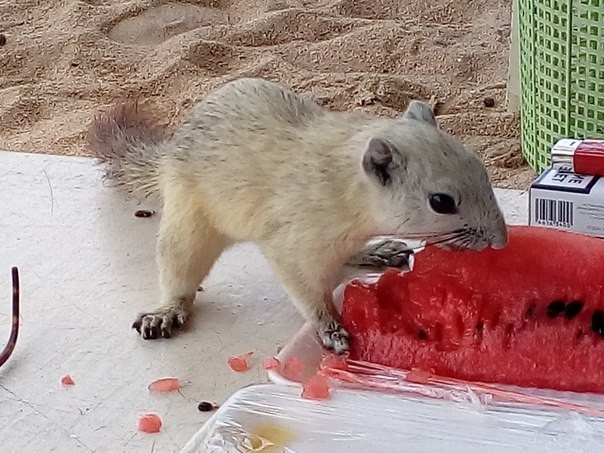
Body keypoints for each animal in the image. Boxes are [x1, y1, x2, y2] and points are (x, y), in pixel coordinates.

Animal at [87, 77, 508, 354]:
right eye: (441, 201)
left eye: (481, 167)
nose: (501, 240)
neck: (343, 185)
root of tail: (168, 155)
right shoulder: (292, 241)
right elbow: (306, 290)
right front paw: (331, 328)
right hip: (189, 224)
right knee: (179, 272)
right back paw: (166, 311)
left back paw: (375, 250)